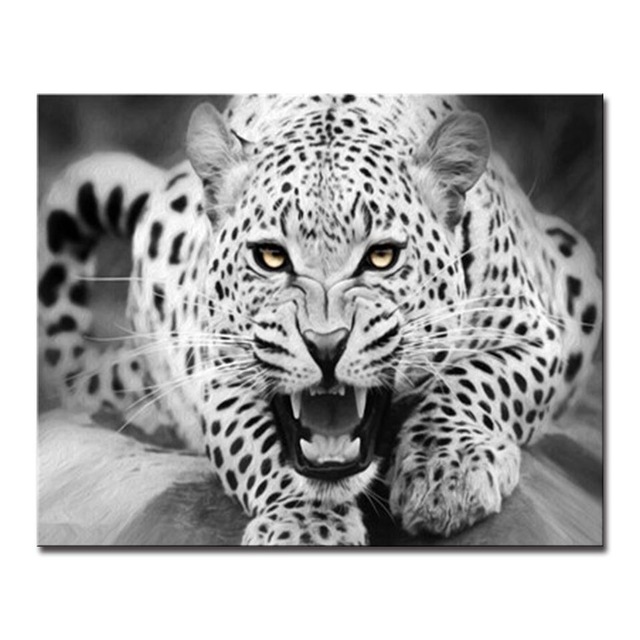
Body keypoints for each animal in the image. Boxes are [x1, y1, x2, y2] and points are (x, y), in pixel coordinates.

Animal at [38, 95, 602, 545]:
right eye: (270, 257)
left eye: (381, 257)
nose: (325, 344)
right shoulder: (221, 373)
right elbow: (261, 447)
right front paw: (307, 526)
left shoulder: (534, 331)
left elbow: (475, 381)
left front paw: (447, 475)